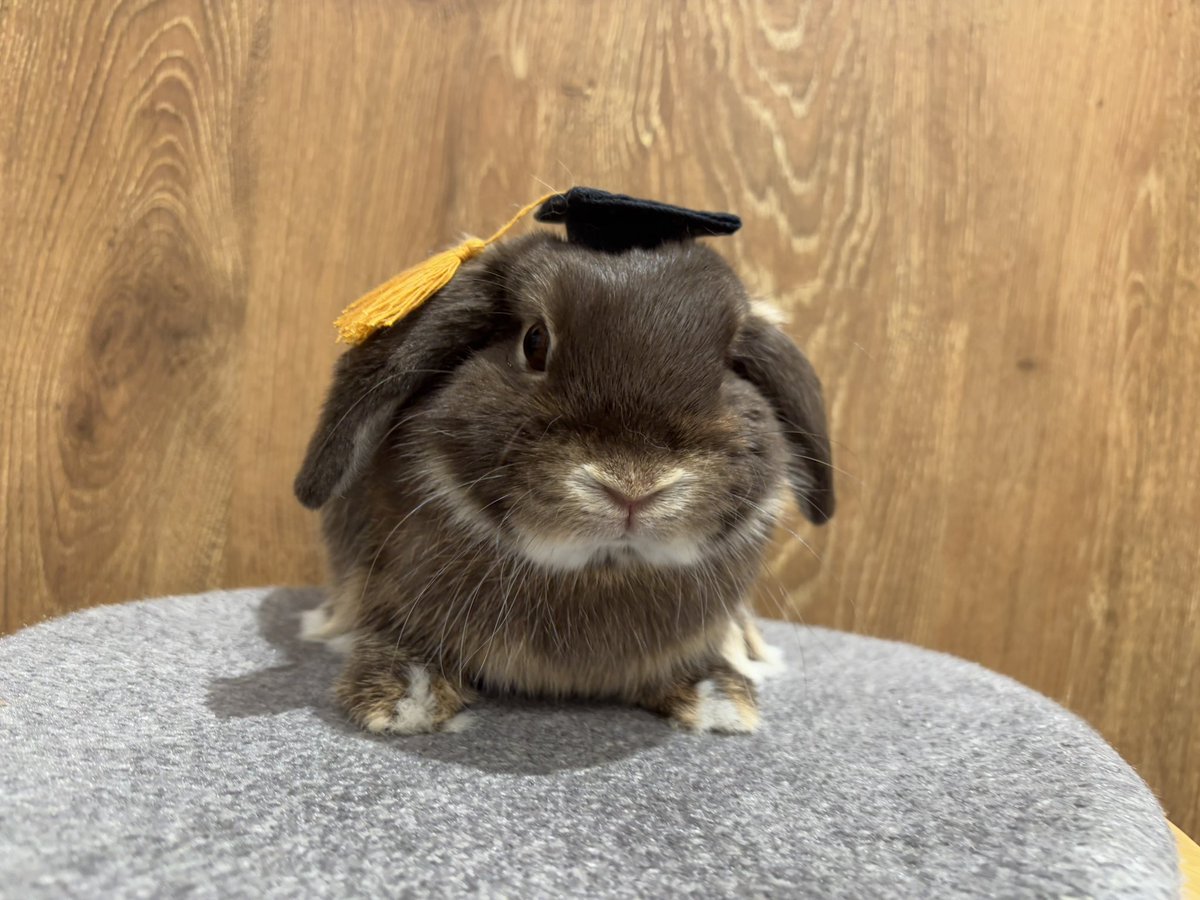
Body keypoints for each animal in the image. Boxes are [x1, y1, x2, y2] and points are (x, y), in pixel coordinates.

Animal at [294, 231, 834, 735]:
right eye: (535, 342)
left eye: (728, 365)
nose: (633, 487)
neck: (600, 571)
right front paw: (403, 695)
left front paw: (718, 695)